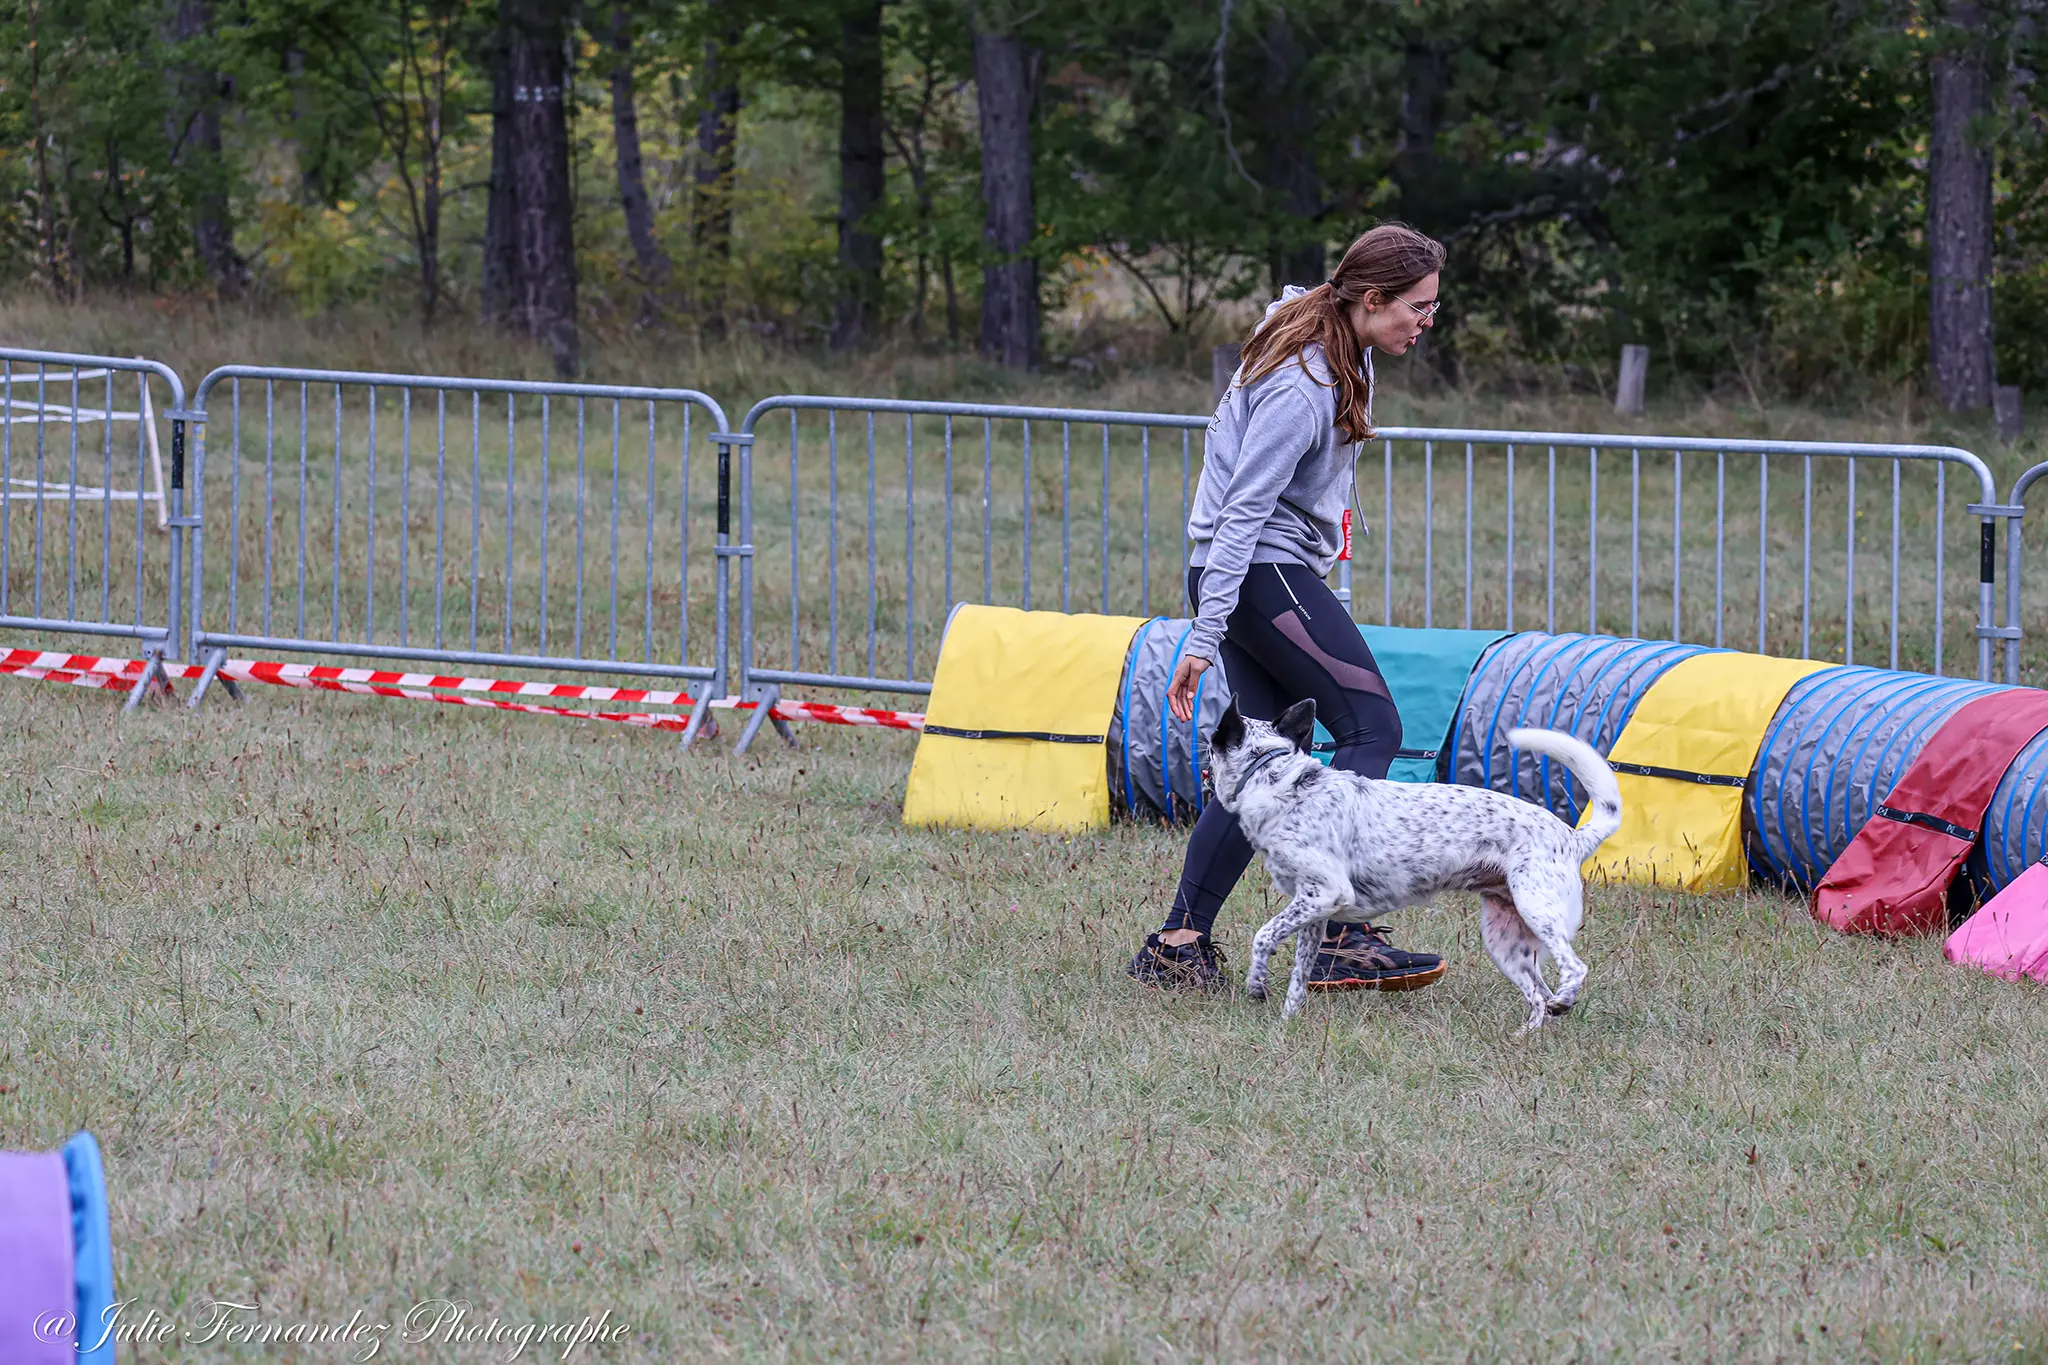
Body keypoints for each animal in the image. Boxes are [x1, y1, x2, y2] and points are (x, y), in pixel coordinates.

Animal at [1204, 699, 1622, 1031]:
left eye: (1210, 745)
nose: (1203, 767)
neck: (1276, 782)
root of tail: (1572, 837)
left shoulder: (1326, 894)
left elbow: (1262, 937)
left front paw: (1256, 984)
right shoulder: (1314, 911)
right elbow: (1298, 976)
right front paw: (1287, 1023)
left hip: (1537, 910)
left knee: (1573, 970)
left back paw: (1563, 1001)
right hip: (1504, 941)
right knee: (1538, 996)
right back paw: (1526, 1036)